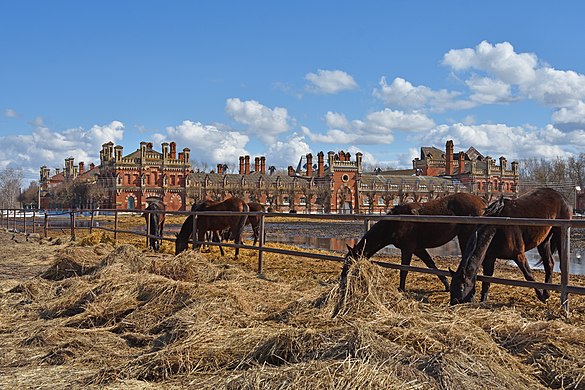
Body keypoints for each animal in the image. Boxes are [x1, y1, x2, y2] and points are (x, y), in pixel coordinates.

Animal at [342, 192, 484, 292]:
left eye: (349, 263)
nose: (343, 280)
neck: (395, 223)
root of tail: (481, 202)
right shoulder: (418, 249)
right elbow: (432, 265)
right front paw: (447, 285)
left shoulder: (407, 248)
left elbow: (404, 270)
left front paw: (401, 289)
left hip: (465, 237)